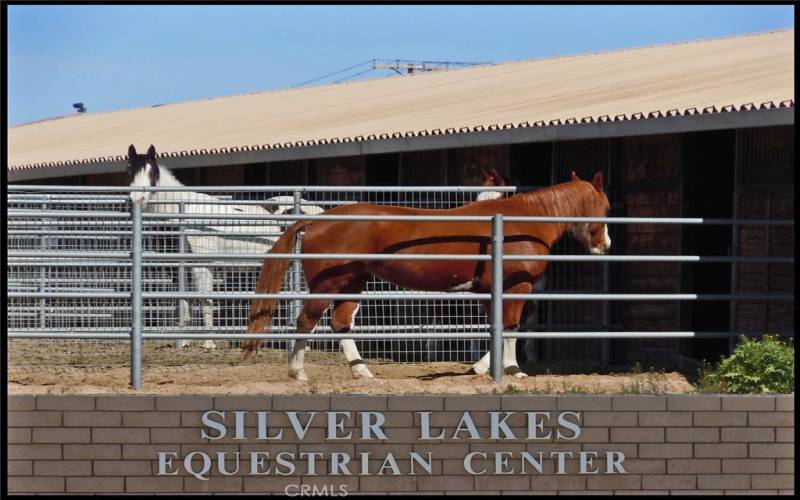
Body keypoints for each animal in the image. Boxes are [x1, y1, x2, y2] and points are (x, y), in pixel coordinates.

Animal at [241, 171, 608, 378]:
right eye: (605, 207)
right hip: (327, 285)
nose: (605, 245)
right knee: (306, 321)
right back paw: (298, 373)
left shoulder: (489, 291)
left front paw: (482, 369)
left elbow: (497, 328)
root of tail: (317, 220)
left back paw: (363, 372)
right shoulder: (516, 288)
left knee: (341, 323)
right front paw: (514, 371)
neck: (522, 223)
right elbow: (512, 328)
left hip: (352, 283)